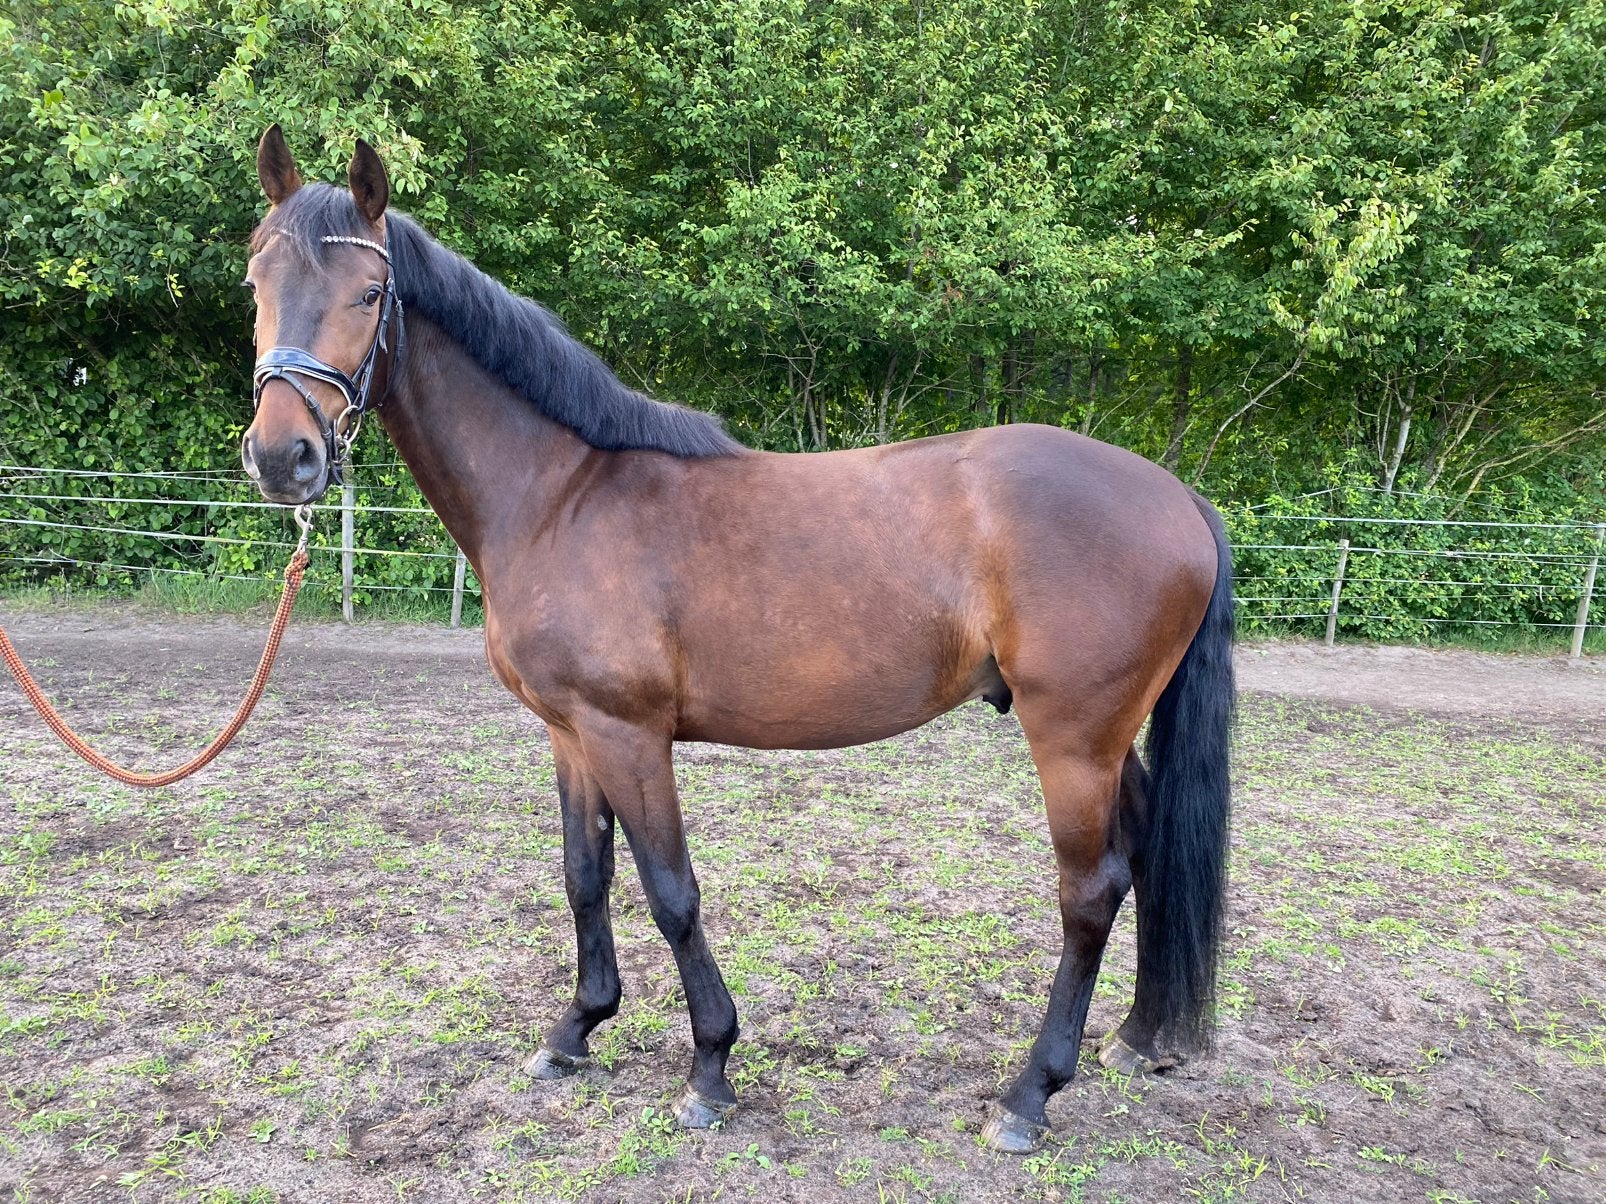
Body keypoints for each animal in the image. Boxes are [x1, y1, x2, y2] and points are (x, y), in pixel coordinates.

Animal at [239, 126, 1234, 1154]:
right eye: (255, 282)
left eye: (368, 294)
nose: (282, 458)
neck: (561, 495)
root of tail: (1178, 499)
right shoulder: (571, 733)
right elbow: (585, 876)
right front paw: (576, 1028)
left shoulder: (629, 734)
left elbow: (671, 892)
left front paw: (709, 1067)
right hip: (1109, 740)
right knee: (1147, 855)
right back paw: (1138, 1039)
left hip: (1072, 740)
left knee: (1091, 892)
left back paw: (1030, 1093)